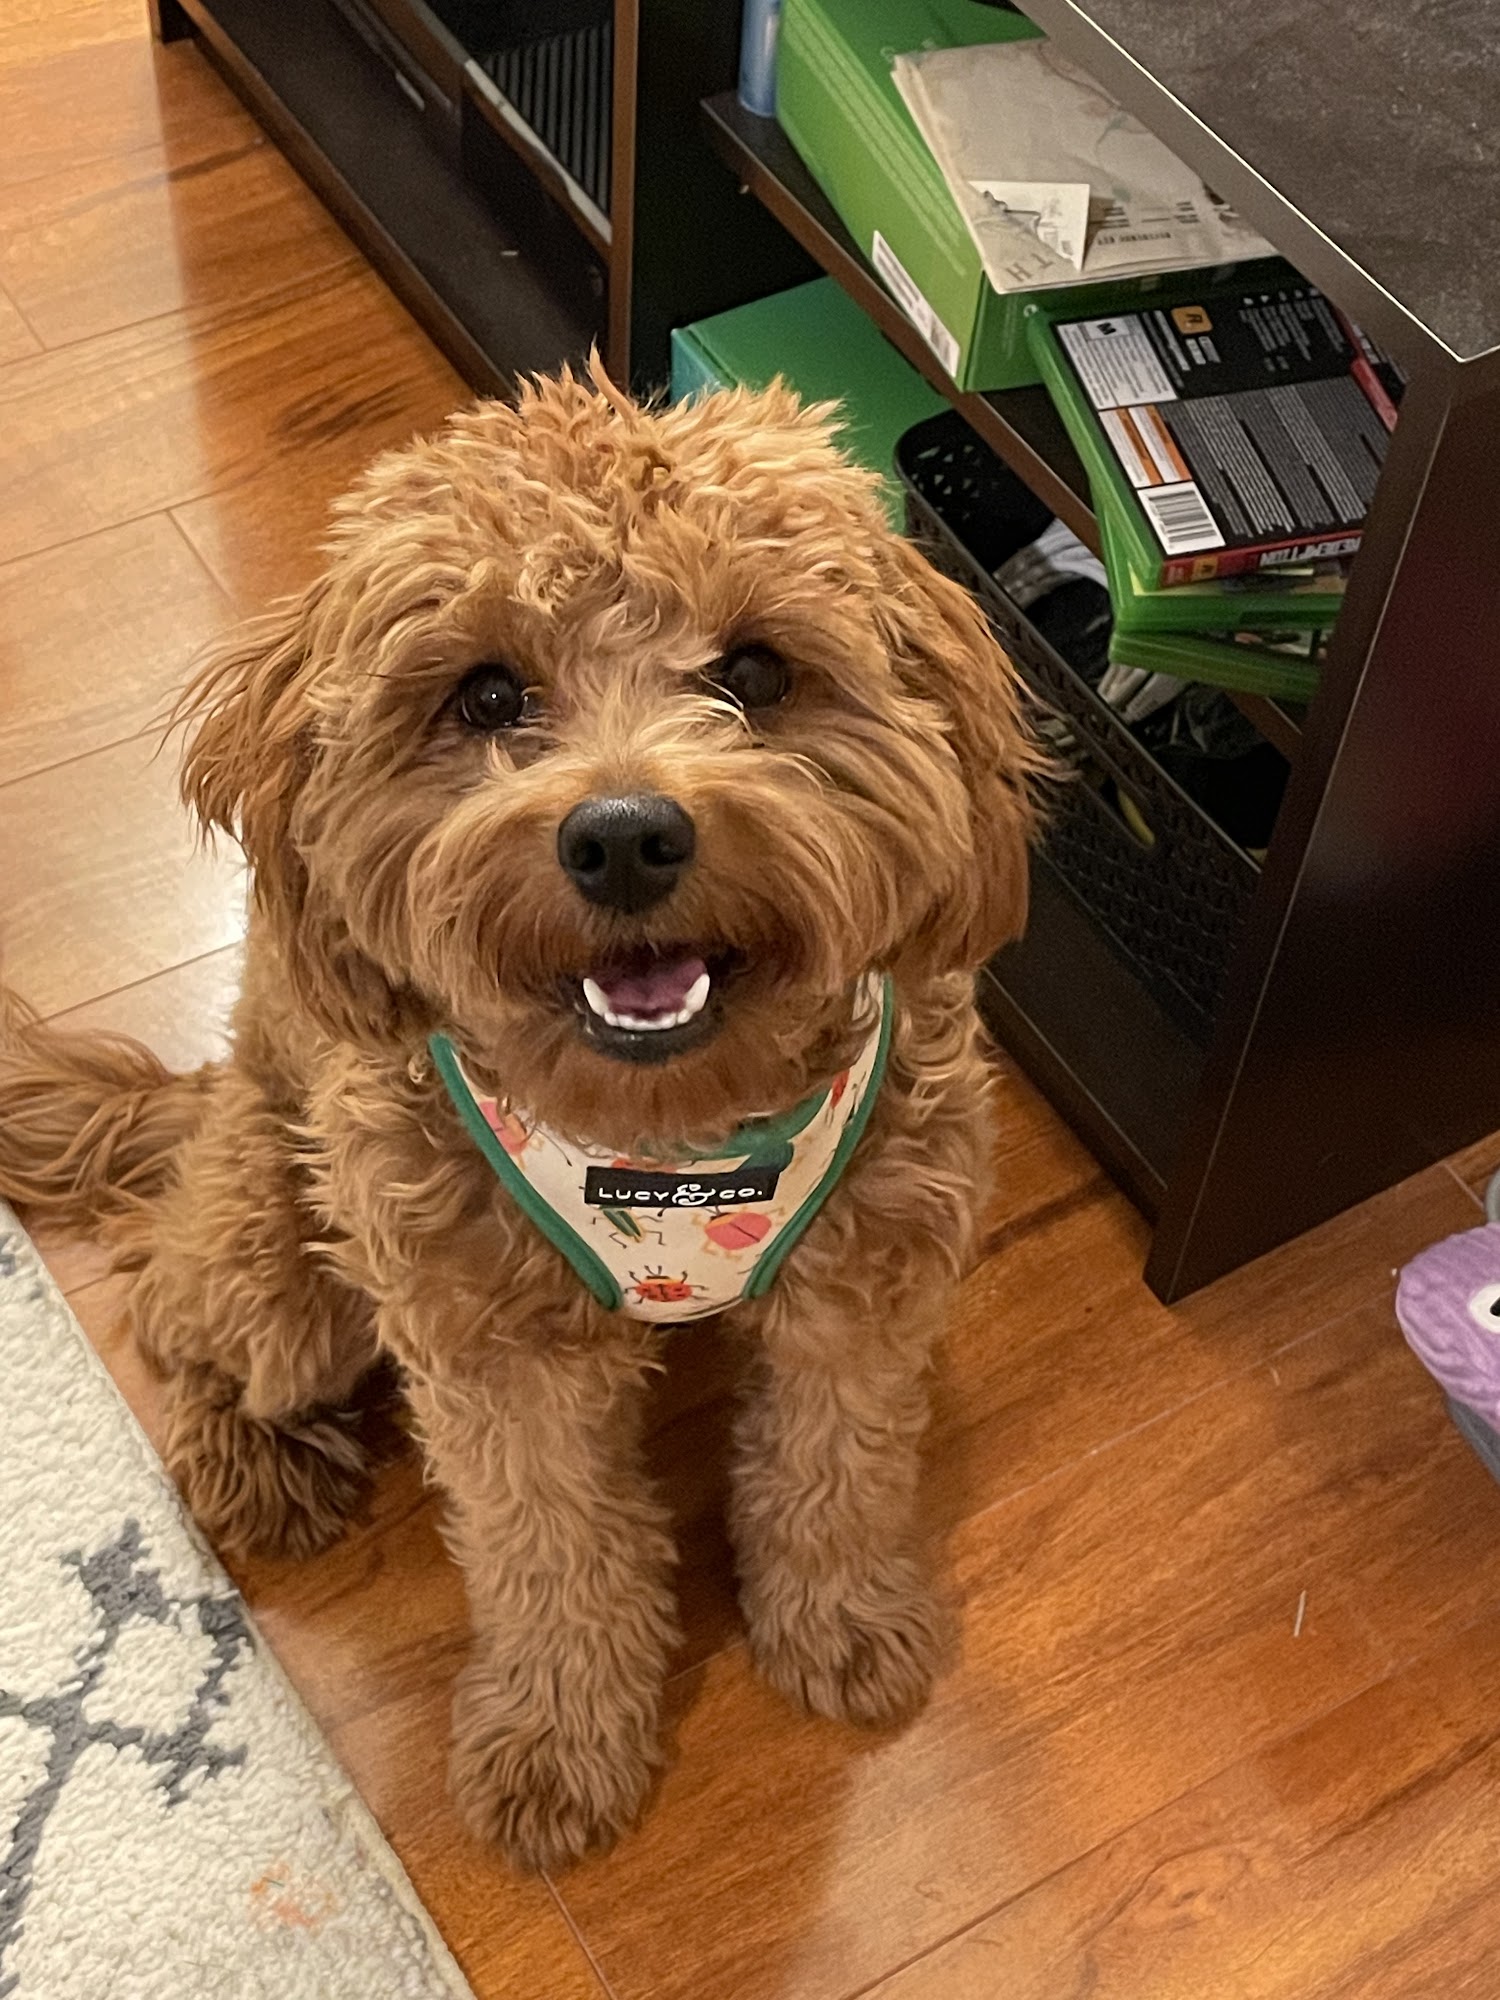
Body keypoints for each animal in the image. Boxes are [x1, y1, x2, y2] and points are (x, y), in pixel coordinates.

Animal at [0, 365, 1041, 1870]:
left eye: (755, 672)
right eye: (488, 692)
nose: (624, 835)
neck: (667, 1138)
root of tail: (204, 1099)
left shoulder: (868, 1279)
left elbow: (835, 1462)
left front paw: (841, 1621)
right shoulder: (490, 1349)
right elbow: (547, 1546)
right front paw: (559, 1742)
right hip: (292, 1277)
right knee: (177, 1319)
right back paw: (256, 1465)